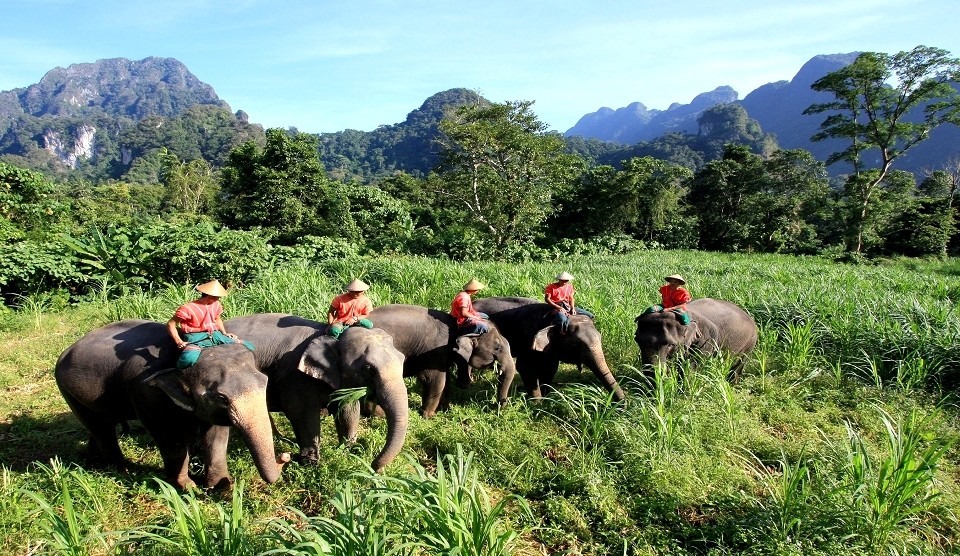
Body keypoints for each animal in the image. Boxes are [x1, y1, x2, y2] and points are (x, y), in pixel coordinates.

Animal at [54, 320, 284, 488]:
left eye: (265, 382)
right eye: (222, 398)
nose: (284, 456)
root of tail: (66, 350)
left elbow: (216, 434)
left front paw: (222, 487)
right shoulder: (145, 393)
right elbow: (168, 436)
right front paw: (187, 488)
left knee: (100, 425)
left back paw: (92, 463)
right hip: (67, 390)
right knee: (101, 428)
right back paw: (121, 471)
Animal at [223, 314, 406, 472]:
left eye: (403, 359)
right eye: (369, 368)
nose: (374, 466)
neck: (324, 334)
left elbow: (348, 410)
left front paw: (348, 451)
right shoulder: (296, 377)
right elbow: (301, 414)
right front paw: (311, 464)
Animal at [368, 304, 516, 416]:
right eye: (497, 348)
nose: (497, 409)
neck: (458, 326)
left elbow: (446, 380)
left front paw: (445, 409)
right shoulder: (434, 352)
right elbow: (435, 380)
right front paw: (428, 416)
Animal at [468, 298, 628, 402]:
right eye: (576, 345)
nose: (623, 404)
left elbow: (550, 368)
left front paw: (546, 397)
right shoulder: (528, 339)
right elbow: (525, 367)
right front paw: (537, 404)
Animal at [632, 296, 760, 378]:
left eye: (670, 345)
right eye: (637, 341)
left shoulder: (706, 339)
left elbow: (691, 367)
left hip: (749, 343)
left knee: (738, 364)